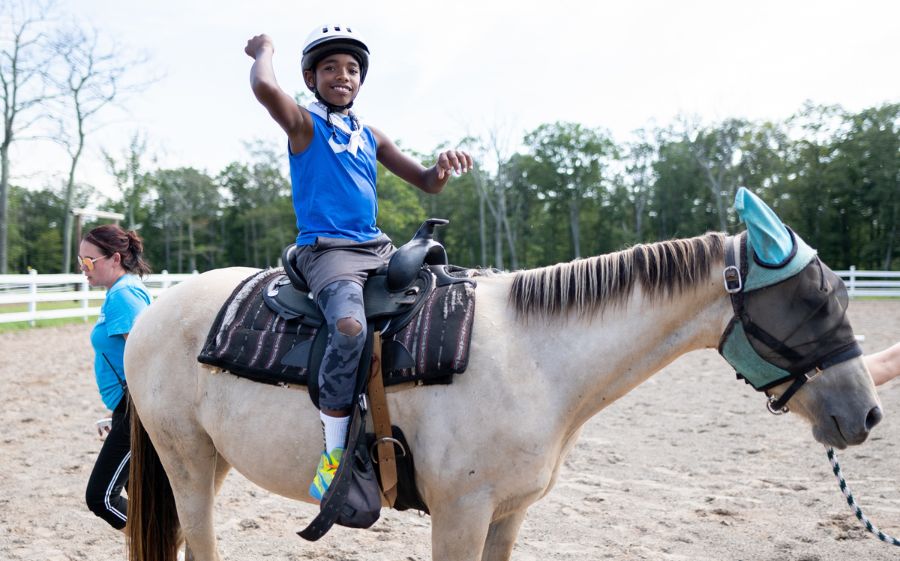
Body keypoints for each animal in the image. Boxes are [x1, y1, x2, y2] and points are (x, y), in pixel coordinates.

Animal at [123, 189, 884, 560]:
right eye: (813, 302)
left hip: (213, 461)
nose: (868, 414)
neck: (534, 356)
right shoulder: (459, 516)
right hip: (184, 458)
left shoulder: (507, 515)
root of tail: (154, 309)